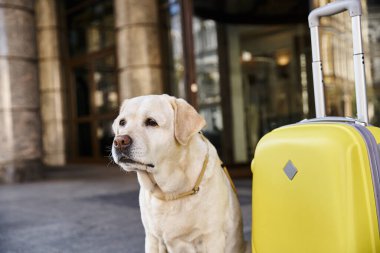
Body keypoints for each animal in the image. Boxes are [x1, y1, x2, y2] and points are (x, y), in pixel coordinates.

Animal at [111, 94, 248, 252]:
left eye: (151, 122)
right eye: (122, 122)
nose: (119, 141)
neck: (170, 192)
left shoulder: (211, 237)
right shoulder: (152, 239)